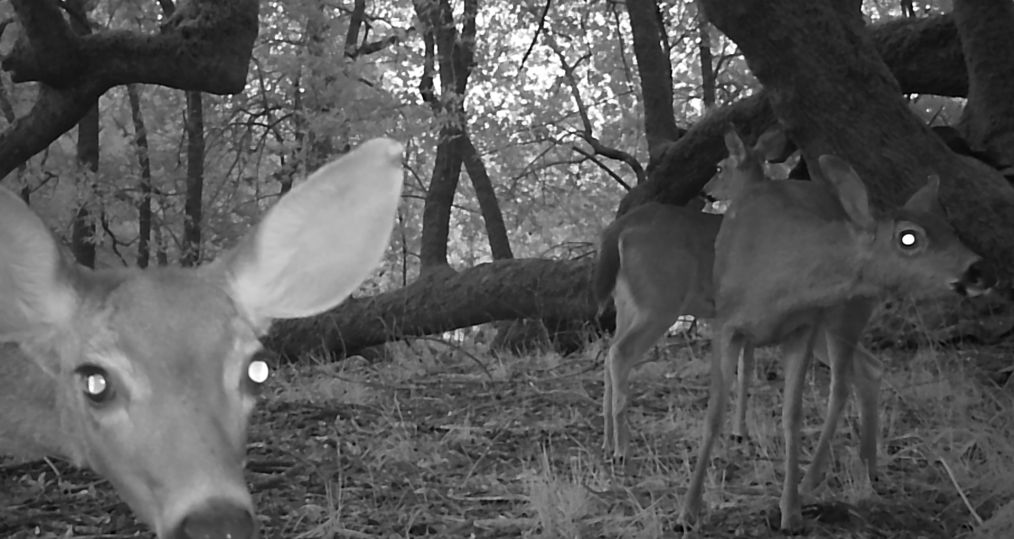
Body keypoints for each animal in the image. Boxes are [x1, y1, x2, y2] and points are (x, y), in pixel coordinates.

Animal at [679, 128, 994, 533]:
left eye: (950, 229)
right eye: (910, 236)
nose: (981, 270)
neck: (775, 276)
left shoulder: (802, 327)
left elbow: (792, 415)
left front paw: (790, 511)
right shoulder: (727, 323)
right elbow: (714, 412)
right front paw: (687, 512)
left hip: (843, 316)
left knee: (845, 382)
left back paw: (816, 477)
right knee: (868, 369)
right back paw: (868, 467)